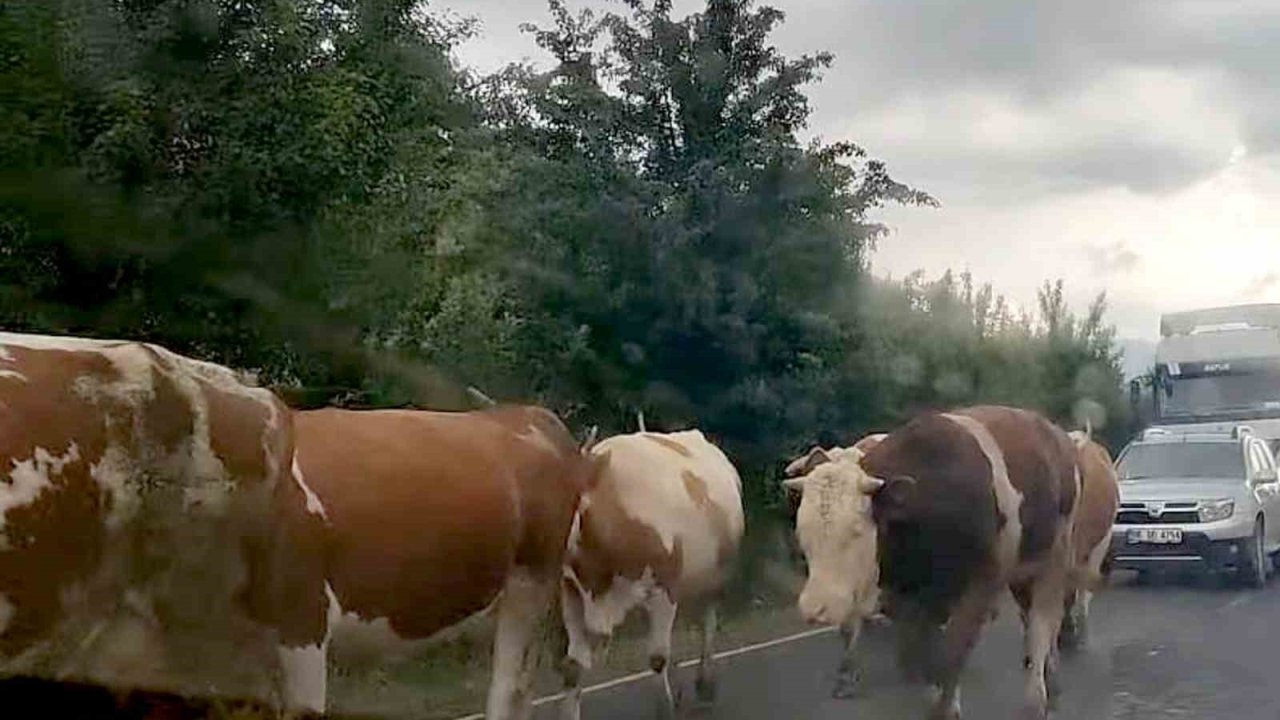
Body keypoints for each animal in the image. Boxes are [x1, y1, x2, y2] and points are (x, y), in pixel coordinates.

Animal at [783, 404, 1075, 717]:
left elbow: (952, 655)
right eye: (802, 530)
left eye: (856, 530)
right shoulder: (908, 596)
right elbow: (926, 657)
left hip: (1054, 559)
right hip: (1022, 571)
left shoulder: (979, 585)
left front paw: (945, 709)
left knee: (1043, 623)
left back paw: (1039, 697)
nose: (816, 608)